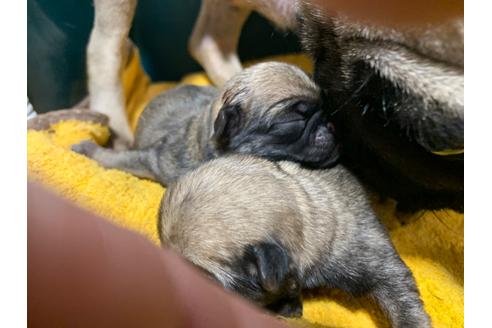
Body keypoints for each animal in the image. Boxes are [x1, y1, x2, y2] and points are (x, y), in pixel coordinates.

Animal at [73, 61, 340, 184]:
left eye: (325, 108)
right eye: (294, 120)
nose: (331, 125)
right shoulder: (152, 159)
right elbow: (114, 158)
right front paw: (86, 149)